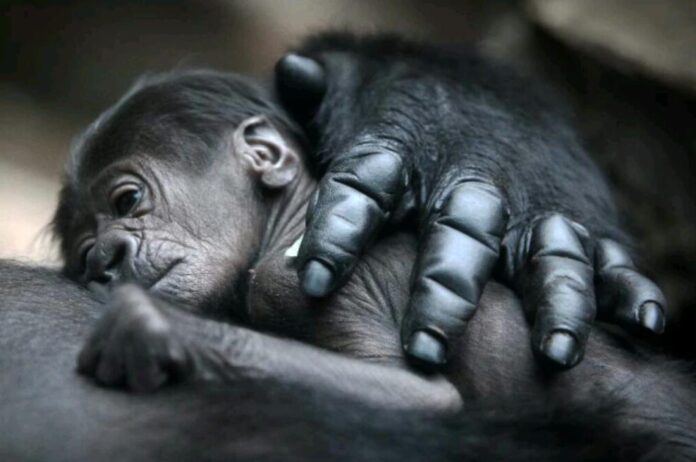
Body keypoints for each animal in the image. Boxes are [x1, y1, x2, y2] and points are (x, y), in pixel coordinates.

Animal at [50, 69, 696, 458]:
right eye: (83, 257)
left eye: (128, 201)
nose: (106, 259)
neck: (291, 221)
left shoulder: (290, 279)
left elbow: (419, 396)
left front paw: (154, 329)